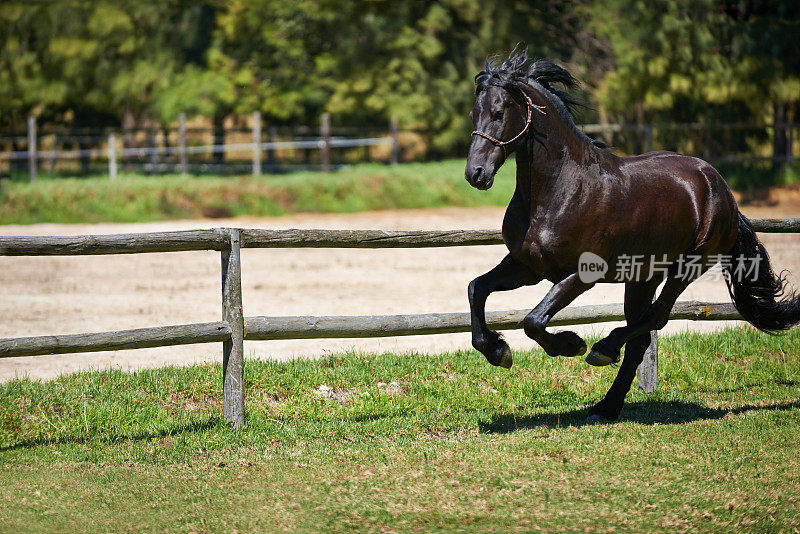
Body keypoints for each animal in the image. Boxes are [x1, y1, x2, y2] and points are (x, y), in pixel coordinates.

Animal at [466, 52, 796, 426]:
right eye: (474, 115)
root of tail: (722, 188)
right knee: (641, 336)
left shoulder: (582, 274)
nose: (475, 174)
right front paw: (498, 351)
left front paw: (572, 344)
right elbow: (477, 289)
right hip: (642, 277)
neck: (559, 190)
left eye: (498, 113)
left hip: (687, 267)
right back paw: (606, 405)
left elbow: (533, 321)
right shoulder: (527, 267)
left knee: (654, 319)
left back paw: (602, 352)